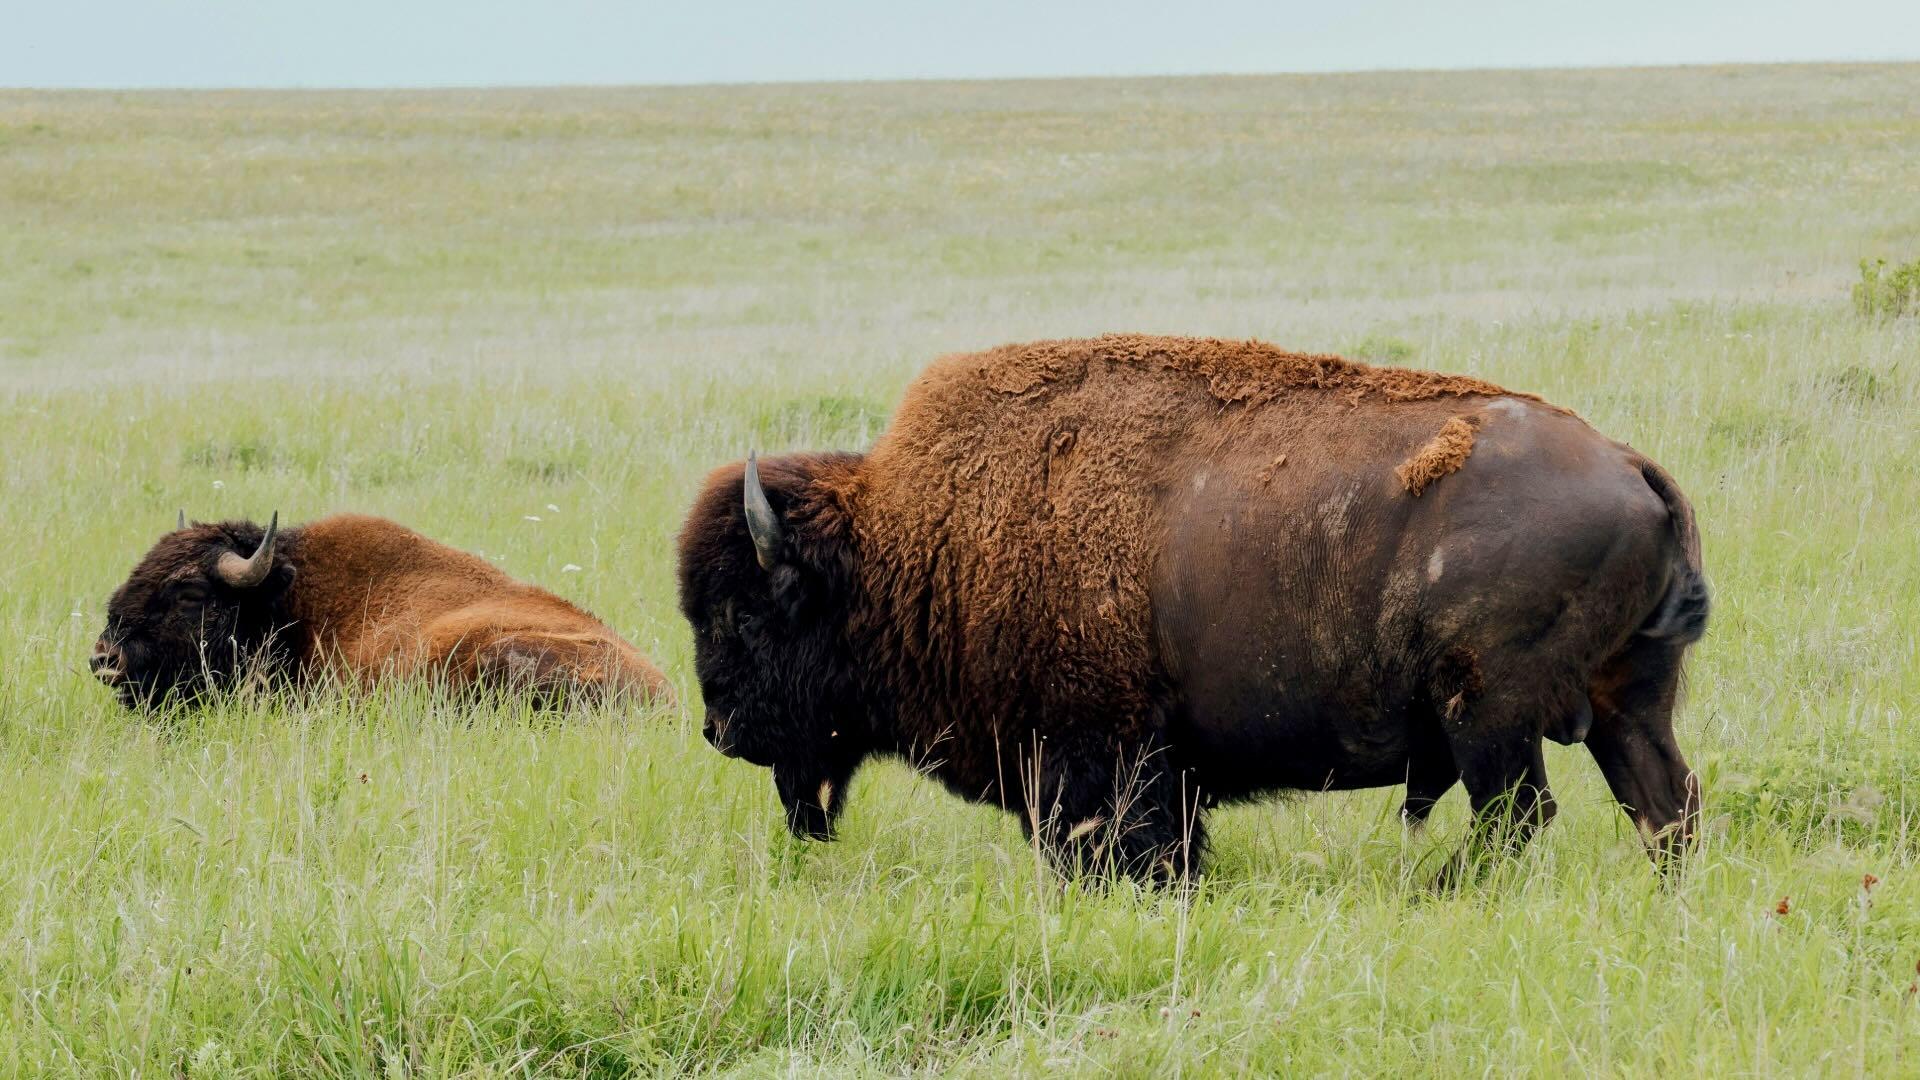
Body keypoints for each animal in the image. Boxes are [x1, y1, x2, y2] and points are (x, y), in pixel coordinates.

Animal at [678, 335, 1708, 883]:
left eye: (745, 616)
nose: (720, 728)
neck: (910, 542)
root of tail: (1629, 465)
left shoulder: (1100, 763)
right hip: (1626, 705)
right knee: (1664, 805)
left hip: (1488, 715)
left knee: (1519, 817)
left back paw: (1435, 892)